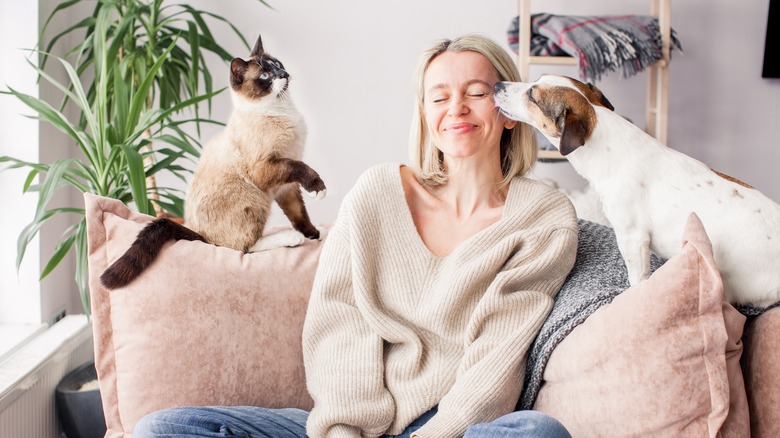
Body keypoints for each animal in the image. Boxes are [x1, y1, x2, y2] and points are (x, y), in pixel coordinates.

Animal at [100, 33, 326, 288]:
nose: (284, 74)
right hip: (254, 197)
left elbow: (299, 214)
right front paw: (318, 189)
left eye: (277, 64)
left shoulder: (286, 187)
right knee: (243, 247)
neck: (282, 110)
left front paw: (314, 234)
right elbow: (301, 169)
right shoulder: (269, 168)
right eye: (265, 76)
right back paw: (291, 238)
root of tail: (201, 237)